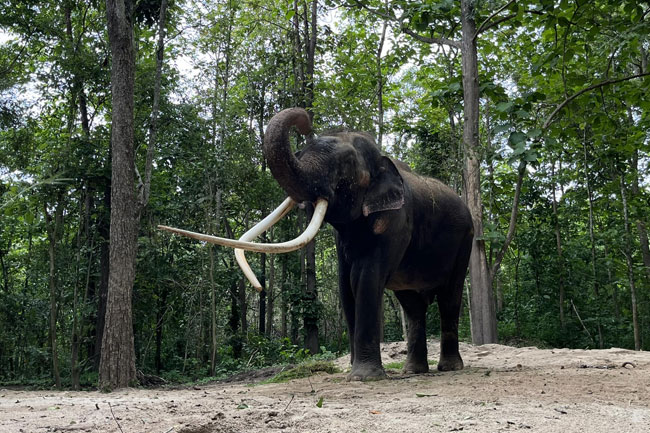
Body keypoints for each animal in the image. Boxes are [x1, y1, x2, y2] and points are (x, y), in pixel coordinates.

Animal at [157, 109, 470, 382]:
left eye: (345, 167)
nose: (306, 120)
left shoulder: (396, 223)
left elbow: (365, 280)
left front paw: (364, 377)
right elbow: (346, 286)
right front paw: (353, 374)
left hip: (464, 245)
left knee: (449, 297)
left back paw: (449, 368)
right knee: (412, 304)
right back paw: (413, 371)